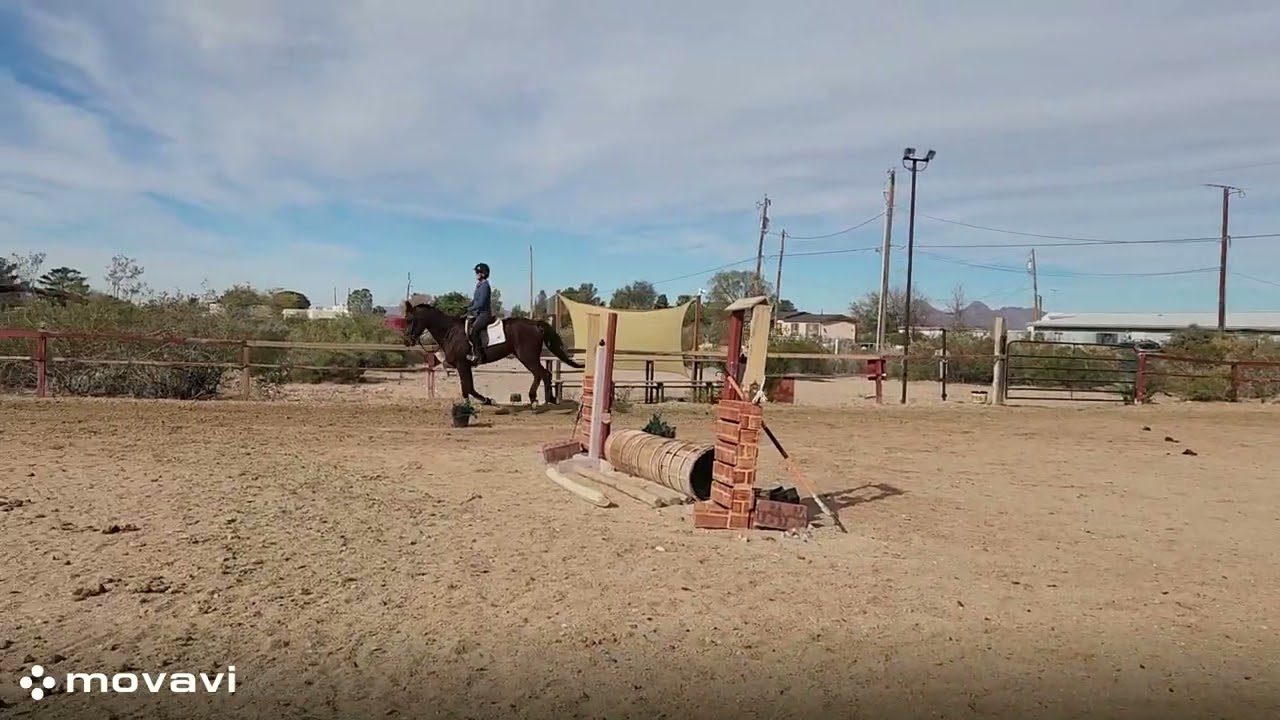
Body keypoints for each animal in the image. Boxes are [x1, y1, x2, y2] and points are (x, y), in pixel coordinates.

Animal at [400, 299, 583, 406]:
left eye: (409, 320)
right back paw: (535, 399)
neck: (450, 331)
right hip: (526, 357)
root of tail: (535, 324)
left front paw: (481, 401)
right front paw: (478, 401)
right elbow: (468, 386)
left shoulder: (461, 363)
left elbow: (468, 387)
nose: (407, 341)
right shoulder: (464, 365)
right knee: (539, 374)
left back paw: (545, 401)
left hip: (527, 356)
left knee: (544, 374)